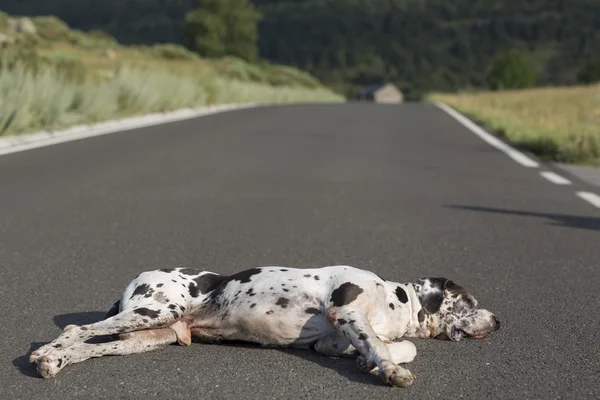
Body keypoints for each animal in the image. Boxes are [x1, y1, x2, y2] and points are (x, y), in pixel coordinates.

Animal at [31, 264, 502, 386]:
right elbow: (390, 349)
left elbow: (395, 345)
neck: (392, 300)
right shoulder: (346, 312)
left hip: (144, 336)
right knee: (75, 331)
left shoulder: (334, 341)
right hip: (152, 311)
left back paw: (54, 362)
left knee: (87, 345)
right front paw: (388, 370)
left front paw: (372, 360)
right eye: (471, 301)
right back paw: (45, 353)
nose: (499, 321)